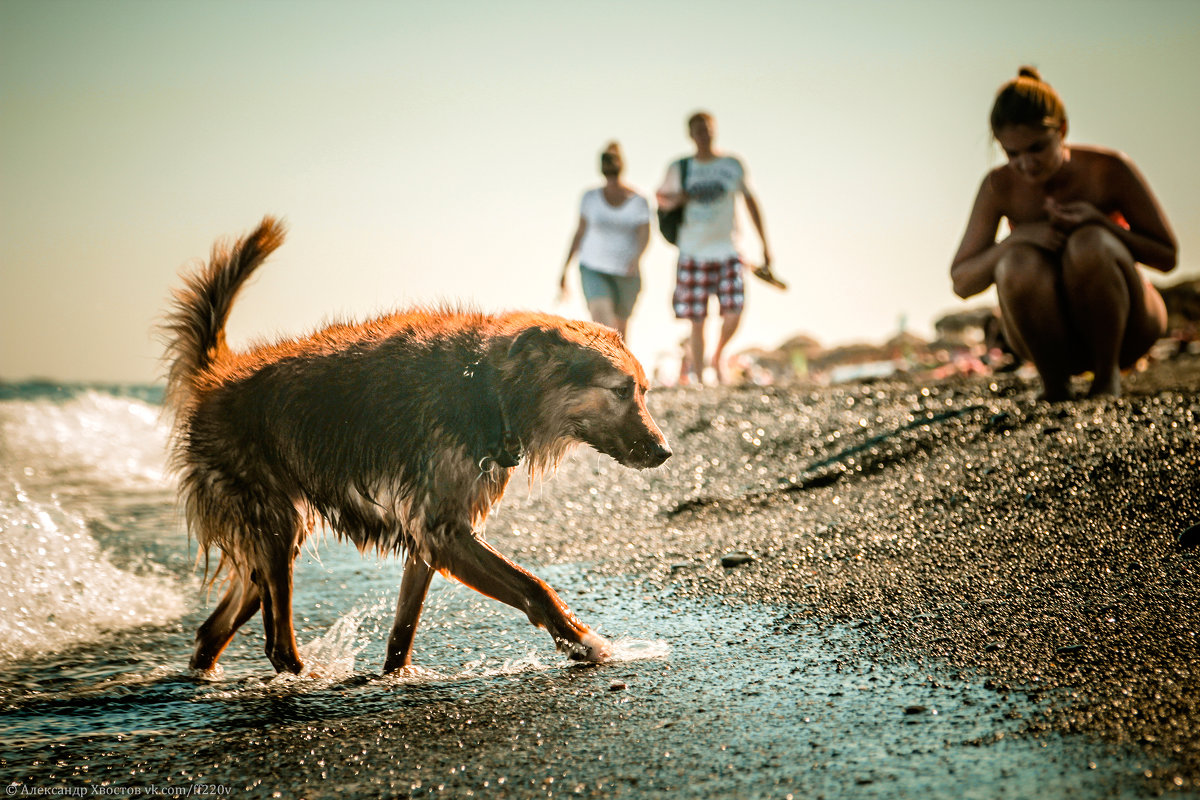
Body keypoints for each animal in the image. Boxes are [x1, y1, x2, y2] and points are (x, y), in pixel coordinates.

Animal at [160, 215, 672, 671]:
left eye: (645, 391)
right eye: (622, 391)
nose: (664, 452)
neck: (487, 387)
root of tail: (216, 378)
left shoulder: (431, 535)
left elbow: (403, 630)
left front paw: (395, 676)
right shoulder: (444, 529)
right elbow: (534, 588)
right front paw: (586, 643)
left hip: (268, 537)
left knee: (218, 625)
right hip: (271, 521)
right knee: (277, 642)